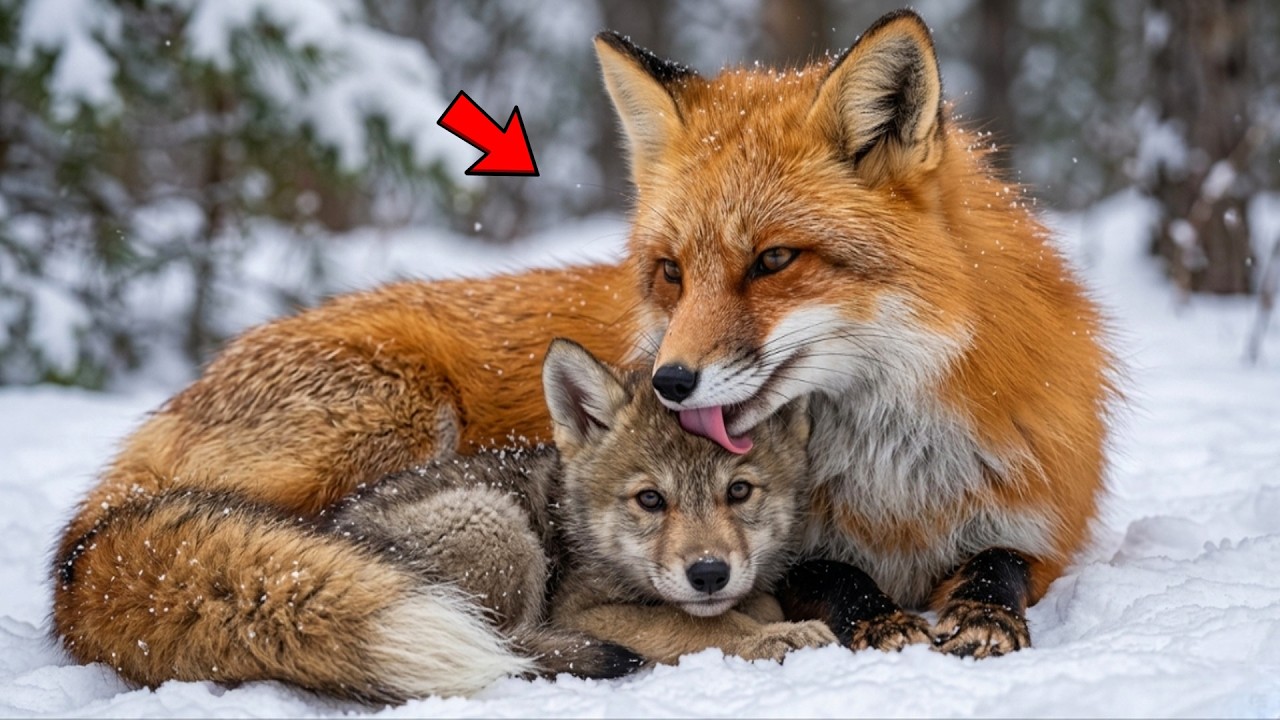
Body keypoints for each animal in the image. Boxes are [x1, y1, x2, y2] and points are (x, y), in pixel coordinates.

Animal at [324, 339, 832, 678]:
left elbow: (754, 602)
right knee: (503, 639)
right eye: (650, 499)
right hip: (496, 520)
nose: (709, 574)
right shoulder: (579, 611)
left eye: (739, 491)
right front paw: (773, 636)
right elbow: (694, 624)